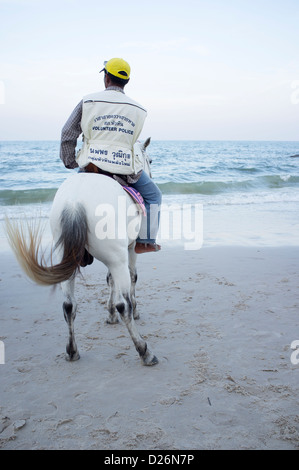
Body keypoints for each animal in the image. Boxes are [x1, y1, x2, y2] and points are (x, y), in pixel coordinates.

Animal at [5, 138, 159, 366]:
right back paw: (144, 351)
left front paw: (109, 314)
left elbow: (109, 281)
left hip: (70, 256)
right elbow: (132, 279)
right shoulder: (130, 250)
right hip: (117, 258)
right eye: (150, 160)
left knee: (69, 306)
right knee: (124, 305)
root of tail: (74, 203)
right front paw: (132, 311)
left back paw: (72, 350)